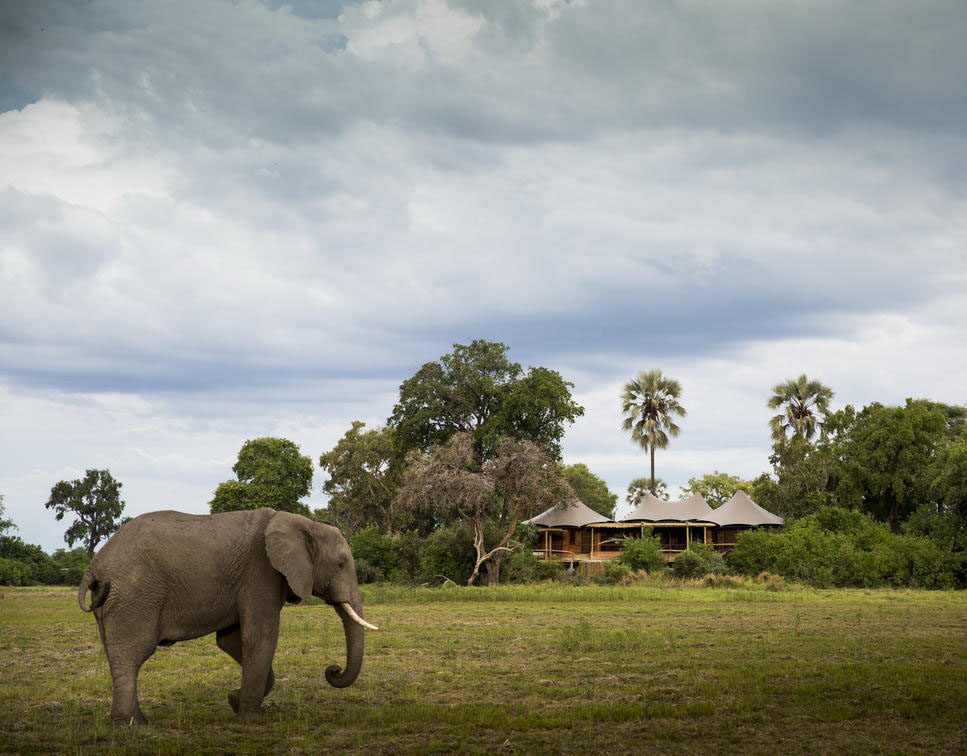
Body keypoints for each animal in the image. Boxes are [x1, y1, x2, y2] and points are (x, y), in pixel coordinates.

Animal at [77, 507, 377, 725]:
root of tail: (94, 566)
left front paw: (234, 701)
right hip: (135, 595)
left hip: (115, 600)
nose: (332, 670)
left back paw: (134, 720)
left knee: (118, 654)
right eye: (341, 564)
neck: (302, 523)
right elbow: (260, 637)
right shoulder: (261, 573)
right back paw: (131, 725)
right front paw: (252, 719)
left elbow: (231, 640)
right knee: (132, 653)